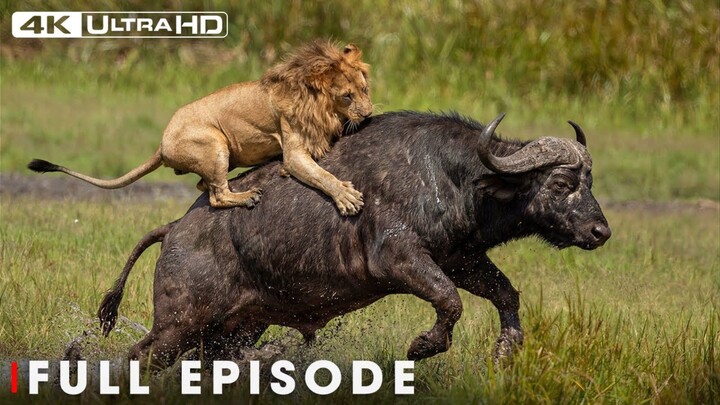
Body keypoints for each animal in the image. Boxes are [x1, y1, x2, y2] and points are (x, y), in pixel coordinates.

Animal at [28, 40, 373, 215]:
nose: (369, 114)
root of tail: (161, 146)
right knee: (216, 196)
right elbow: (321, 175)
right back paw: (246, 196)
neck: (319, 104)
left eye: (365, 89)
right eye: (346, 96)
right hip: (215, 144)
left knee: (202, 187)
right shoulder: (295, 149)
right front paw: (346, 198)